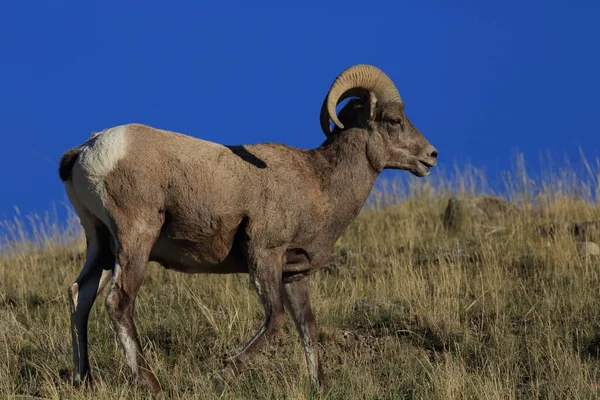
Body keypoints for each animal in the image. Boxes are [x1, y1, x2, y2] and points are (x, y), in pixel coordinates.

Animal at [59, 65, 436, 390]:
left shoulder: (294, 274)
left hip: (102, 245)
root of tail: (87, 150)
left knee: (80, 295)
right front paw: (224, 374)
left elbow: (307, 327)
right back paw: (153, 384)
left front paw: (319, 385)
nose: (431, 156)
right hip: (136, 238)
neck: (319, 184)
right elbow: (275, 319)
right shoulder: (264, 255)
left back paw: (83, 378)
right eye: (394, 120)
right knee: (119, 302)